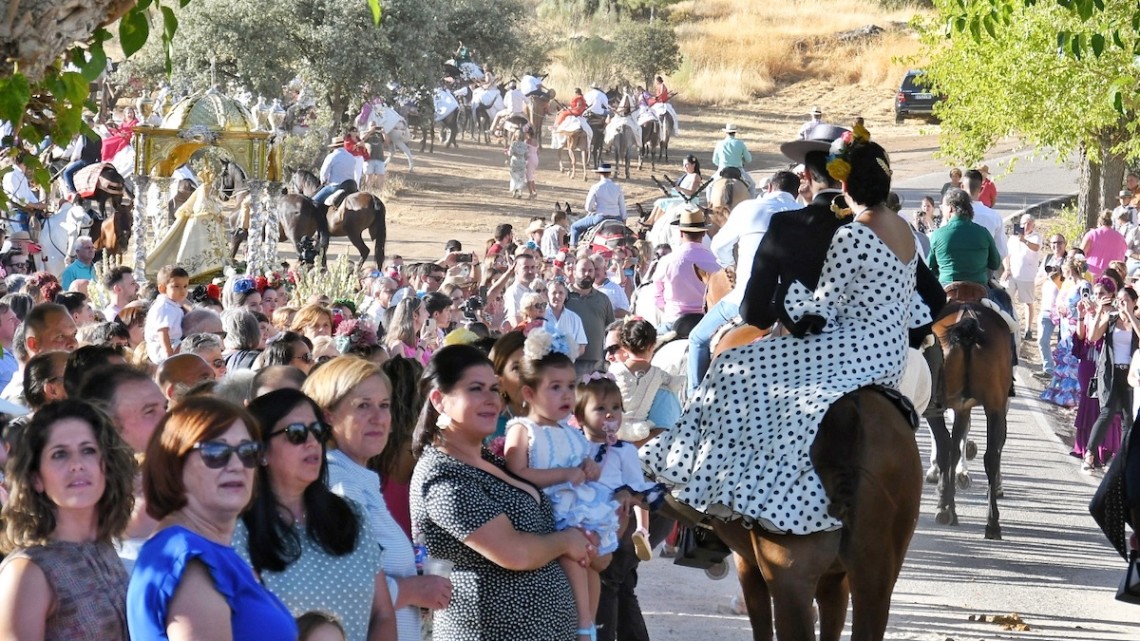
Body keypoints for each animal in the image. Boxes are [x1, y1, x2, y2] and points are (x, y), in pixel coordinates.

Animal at [930, 296, 1012, 536]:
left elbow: (950, 448)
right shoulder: (963, 408)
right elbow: (957, 448)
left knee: (945, 446)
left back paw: (946, 508)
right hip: (995, 405)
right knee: (991, 456)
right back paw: (992, 522)